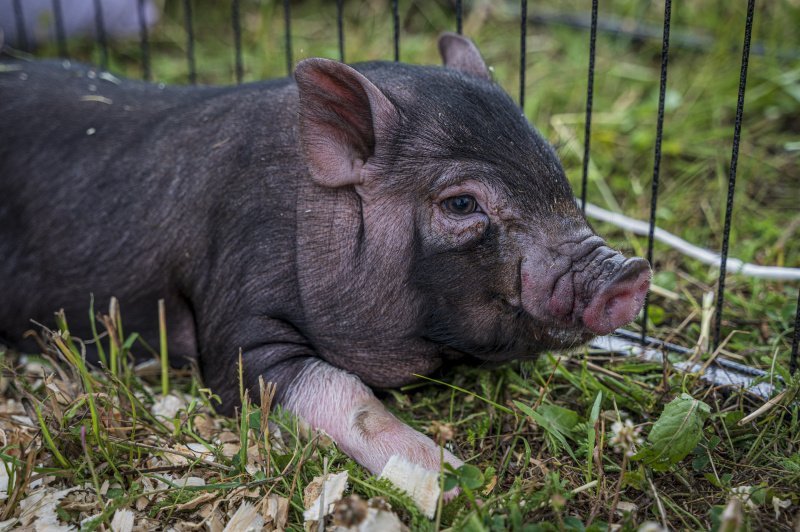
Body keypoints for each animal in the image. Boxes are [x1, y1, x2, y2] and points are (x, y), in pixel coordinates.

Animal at [0, 34, 648, 478]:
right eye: (462, 203)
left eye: (556, 169)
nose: (631, 274)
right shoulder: (236, 299)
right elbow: (339, 391)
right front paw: (452, 478)